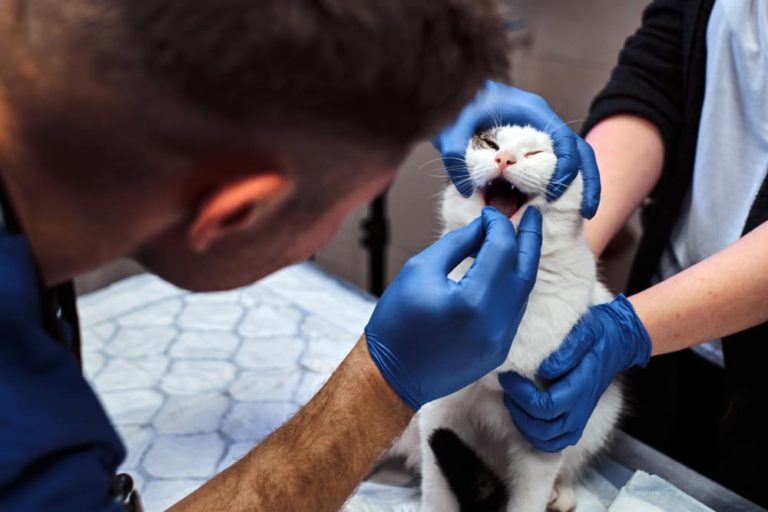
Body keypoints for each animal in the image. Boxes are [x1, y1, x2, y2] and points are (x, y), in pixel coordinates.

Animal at [384, 125, 624, 512]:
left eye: (535, 154)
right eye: (490, 143)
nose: (504, 158)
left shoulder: (544, 430)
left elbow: (527, 498)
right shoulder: (440, 411)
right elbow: (437, 491)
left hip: (599, 416)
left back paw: (561, 494)